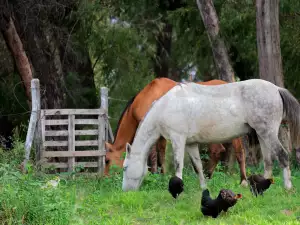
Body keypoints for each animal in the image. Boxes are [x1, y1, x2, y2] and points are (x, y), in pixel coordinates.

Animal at [104, 78, 247, 186]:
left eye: (106, 160)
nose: (104, 178)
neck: (146, 96)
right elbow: (160, 153)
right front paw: (161, 174)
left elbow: (154, 155)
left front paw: (157, 175)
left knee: (222, 151)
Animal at [122, 79, 300, 192]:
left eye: (125, 167)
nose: (125, 191)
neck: (166, 106)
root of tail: (276, 89)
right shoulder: (191, 144)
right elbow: (198, 167)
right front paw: (203, 188)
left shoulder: (178, 140)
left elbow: (178, 165)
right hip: (262, 135)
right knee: (268, 161)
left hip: (268, 133)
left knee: (283, 156)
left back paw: (287, 187)